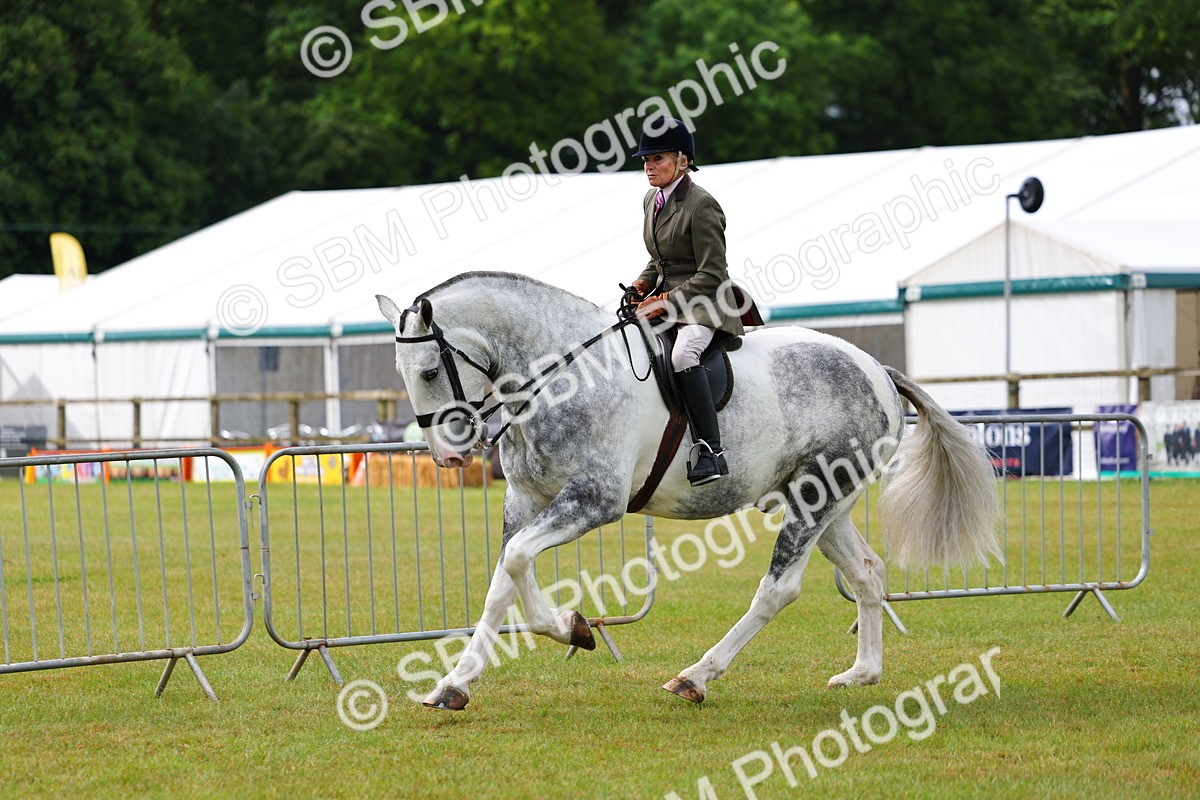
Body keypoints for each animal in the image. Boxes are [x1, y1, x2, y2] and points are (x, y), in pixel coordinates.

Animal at [376, 271, 1000, 710]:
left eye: (429, 370)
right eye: (403, 372)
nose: (449, 456)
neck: (560, 375)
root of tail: (874, 368)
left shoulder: (595, 501)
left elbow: (520, 559)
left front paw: (569, 627)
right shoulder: (525, 501)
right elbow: (504, 577)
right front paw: (456, 684)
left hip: (817, 498)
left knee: (778, 590)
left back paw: (695, 677)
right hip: (821, 499)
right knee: (867, 572)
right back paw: (862, 673)